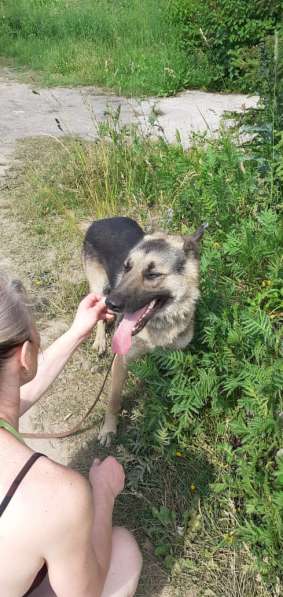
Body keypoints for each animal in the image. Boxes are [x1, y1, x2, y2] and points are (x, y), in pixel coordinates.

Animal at [83, 217, 207, 444]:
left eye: (153, 274)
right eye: (127, 268)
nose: (112, 303)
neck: (157, 326)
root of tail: (100, 221)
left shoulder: (174, 358)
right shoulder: (120, 362)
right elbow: (113, 400)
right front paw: (108, 429)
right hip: (98, 286)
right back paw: (100, 340)